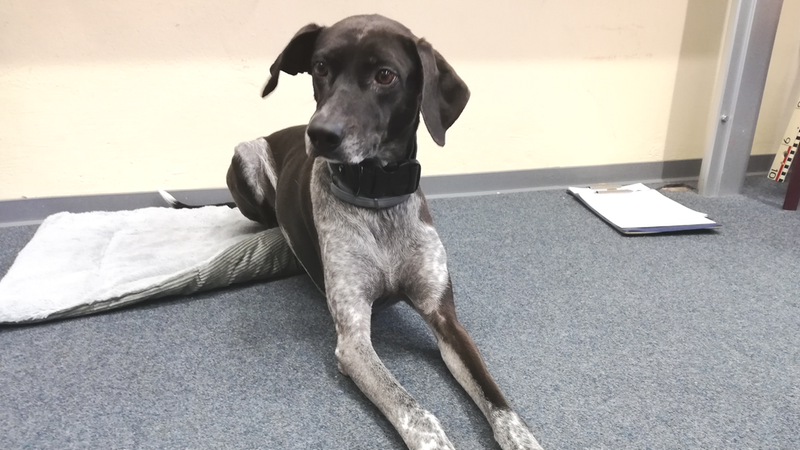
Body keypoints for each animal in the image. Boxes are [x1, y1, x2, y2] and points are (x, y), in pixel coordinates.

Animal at [228, 14, 548, 450]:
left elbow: (499, 403)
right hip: (245, 154)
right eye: (320, 67)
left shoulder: (445, 318)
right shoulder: (354, 338)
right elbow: (416, 412)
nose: (320, 134)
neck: (379, 199)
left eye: (385, 75)